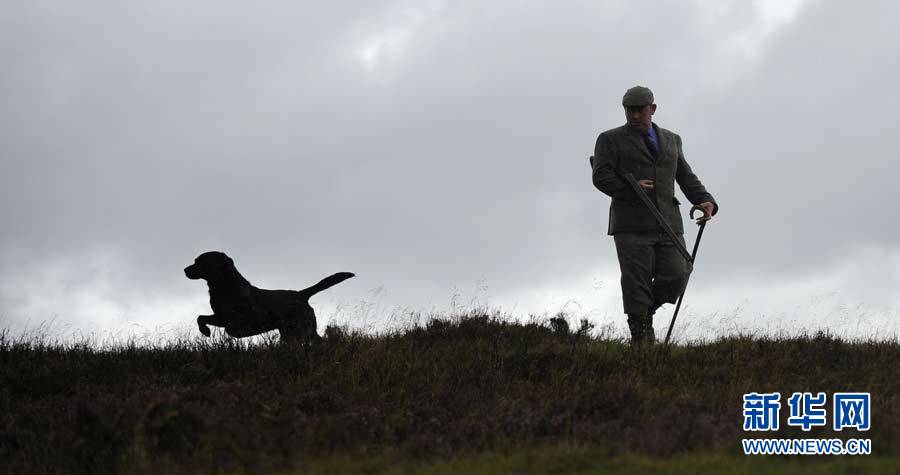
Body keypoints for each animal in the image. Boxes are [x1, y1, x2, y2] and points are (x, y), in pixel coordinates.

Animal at [184, 251, 354, 343]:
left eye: (199, 262)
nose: (185, 269)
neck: (224, 287)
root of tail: (301, 294)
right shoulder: (220, 317)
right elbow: (200, 317)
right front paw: (205, 331)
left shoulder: (243, 319)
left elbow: (231, 328)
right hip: (300, 330)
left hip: (299, 329)